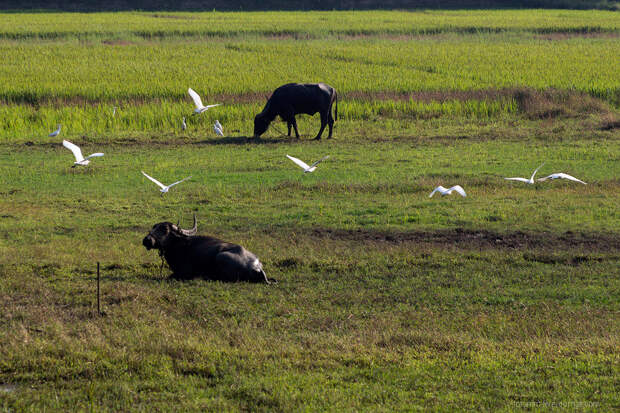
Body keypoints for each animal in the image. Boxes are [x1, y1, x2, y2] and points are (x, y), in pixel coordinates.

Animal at [145, 216, 274, 284]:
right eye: (154, 227)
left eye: (165, 230)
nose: (146, 240)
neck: (180, 245)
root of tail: (256, 267)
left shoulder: (184, 273)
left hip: (221, 256)